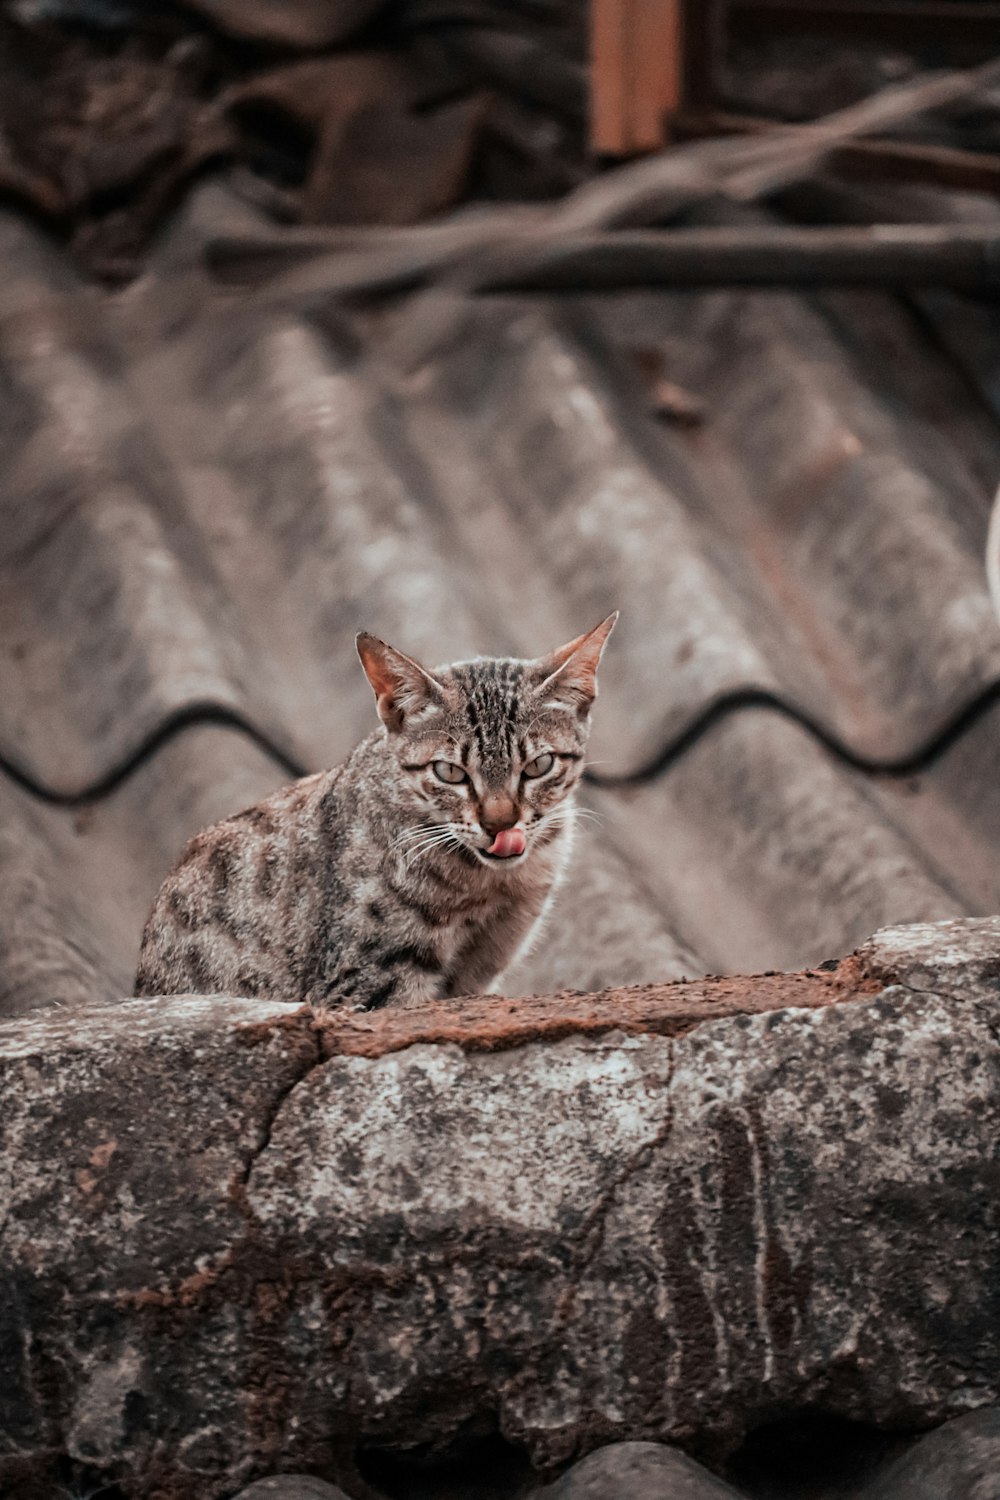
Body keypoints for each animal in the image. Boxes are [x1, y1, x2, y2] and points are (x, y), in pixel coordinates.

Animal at [132, 609, 617, 1008]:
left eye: (538, 766)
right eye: (450, 772)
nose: (500, 824)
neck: (494, 888)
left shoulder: (481, 964)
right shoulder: (369, 977)